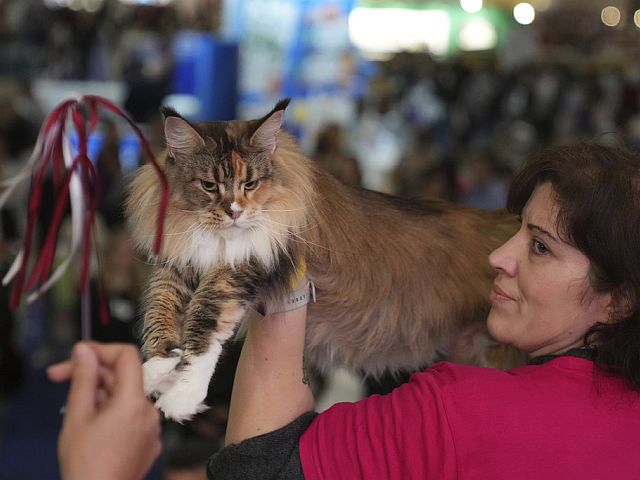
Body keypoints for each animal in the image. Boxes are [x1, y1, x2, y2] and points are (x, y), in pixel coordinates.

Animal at [125, 99, 520, 422]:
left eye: (250, 184)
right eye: (209, 186)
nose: (235, 212)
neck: (218, 241)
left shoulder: (249, 262)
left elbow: (206, 320)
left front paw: (182, 397)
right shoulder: (178, 263)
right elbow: (159, 310)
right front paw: (156, 370)